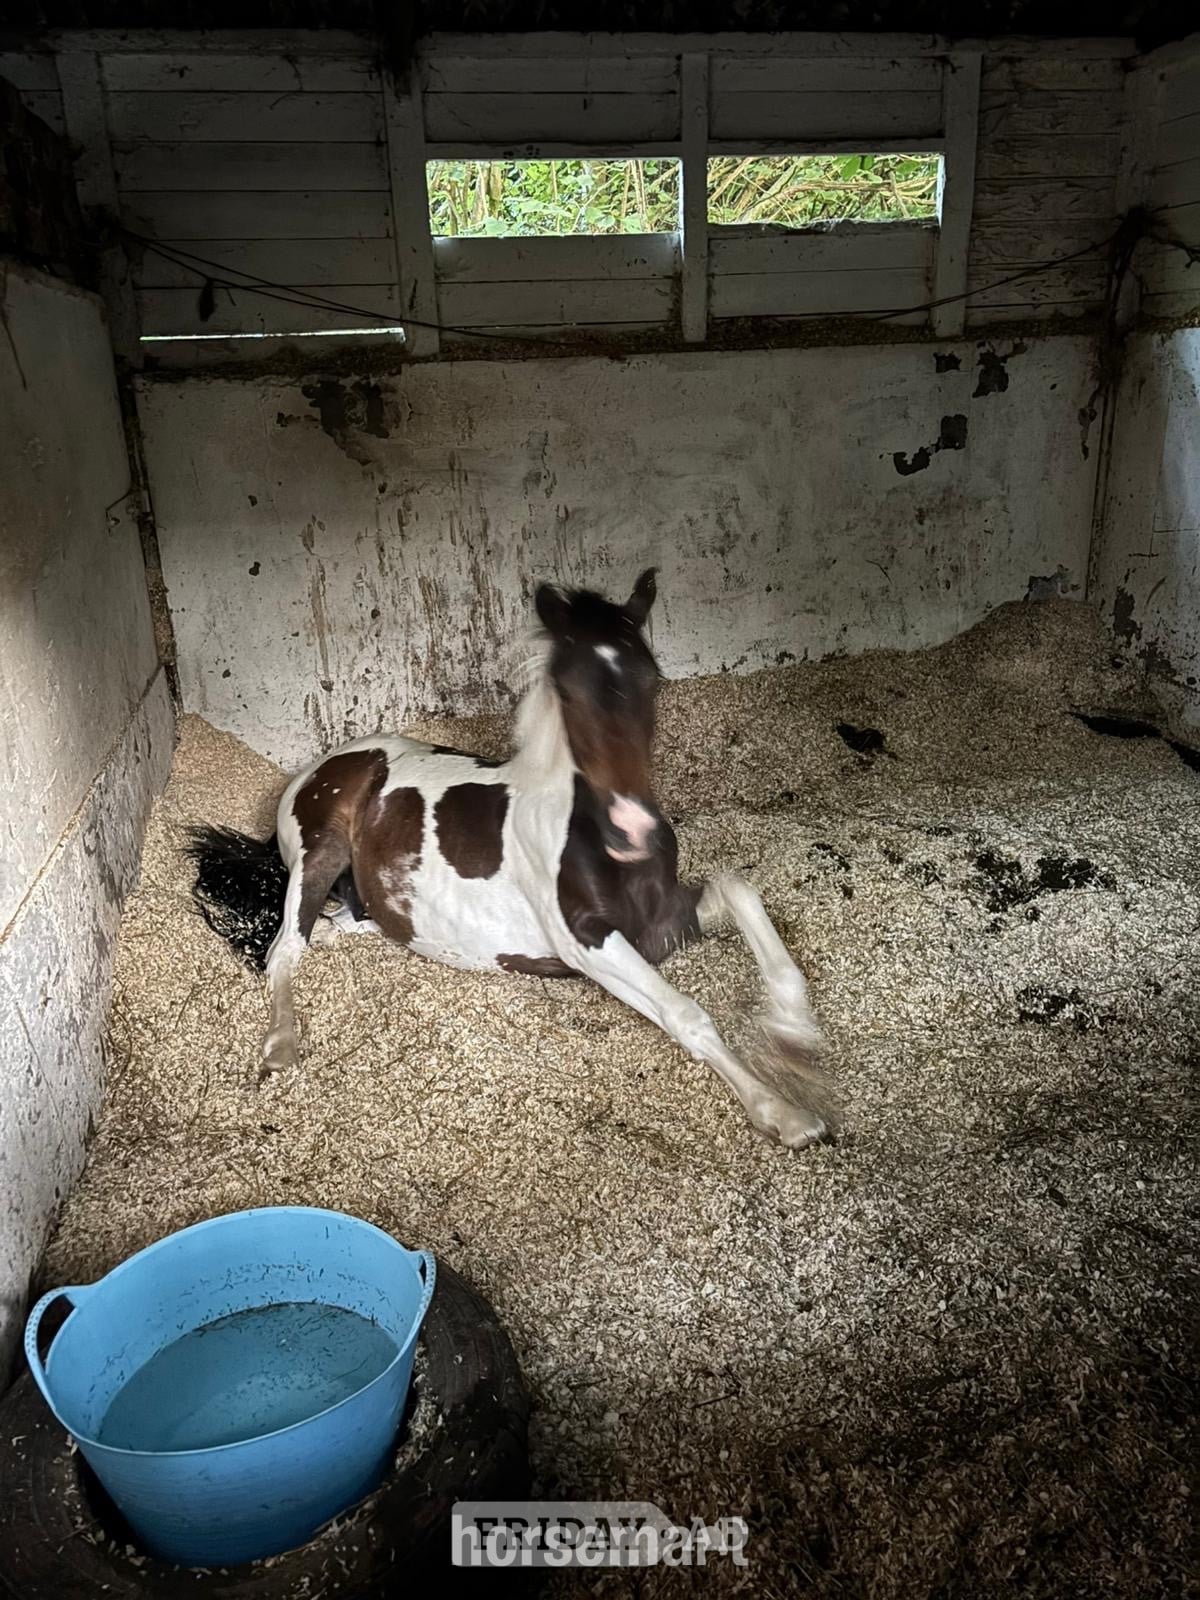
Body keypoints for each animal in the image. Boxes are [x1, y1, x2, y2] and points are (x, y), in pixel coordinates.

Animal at [188, 569, 835, 1149]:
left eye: (653, 681)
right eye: (568, 692)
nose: (634, 830)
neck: (585, 839)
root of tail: (324, 764)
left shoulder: (665, 920)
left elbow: (740, 889)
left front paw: (793, 1035)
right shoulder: (589, 943)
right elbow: (687, 1013)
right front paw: (784, 1114)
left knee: (344, 923)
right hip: (318, 853)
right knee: (284, 947)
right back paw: (280, 1045)